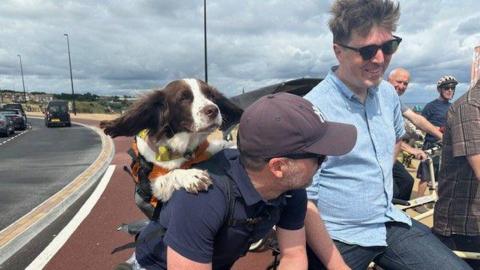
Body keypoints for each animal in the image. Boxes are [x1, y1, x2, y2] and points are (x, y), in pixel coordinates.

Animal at [99, 79, 242, 204]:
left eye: (211, 96)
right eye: (183, 98)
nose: (213, 110)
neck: (183, 149)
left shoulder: (205, 149)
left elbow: (221, 145)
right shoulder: (149, 185)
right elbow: (172, 173)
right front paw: (192, 176)